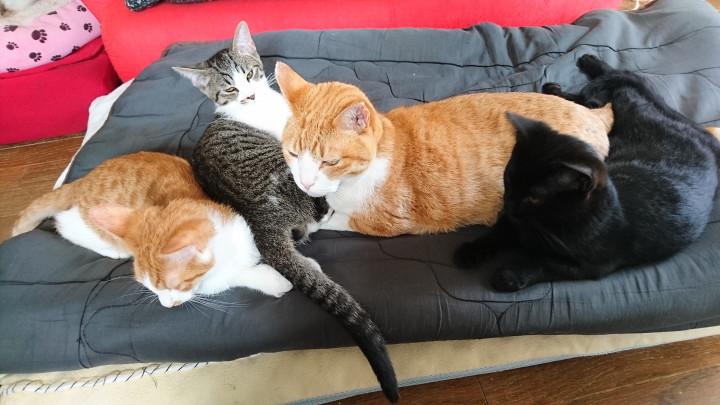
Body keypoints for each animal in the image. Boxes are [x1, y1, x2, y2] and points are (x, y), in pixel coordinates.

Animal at [12, 151, 293, 307]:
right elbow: (238, 276)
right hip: (90, 222)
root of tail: (82, 181)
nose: (166, 306)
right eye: (154, 290)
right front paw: (275, 281)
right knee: (64, 223)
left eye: (175, 285)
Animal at [274, 62, 613, 237]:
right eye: (293, 154)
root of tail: (591, 114)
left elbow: (336, 222)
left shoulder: (385, 222)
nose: (305, 182)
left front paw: (310, 225)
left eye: (330, 161)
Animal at [453, 54, 720, 292]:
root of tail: (695, 129)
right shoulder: (514, 222)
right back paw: (578, 69)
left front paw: (510, 275)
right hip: (624, 103)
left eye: (535, 197)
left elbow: (544, 263)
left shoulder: (591, 265)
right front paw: (471, 251)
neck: (545, 223)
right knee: (603, 89)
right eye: (508, 178)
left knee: (603, 91)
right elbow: (498, 233)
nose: (507, 203)